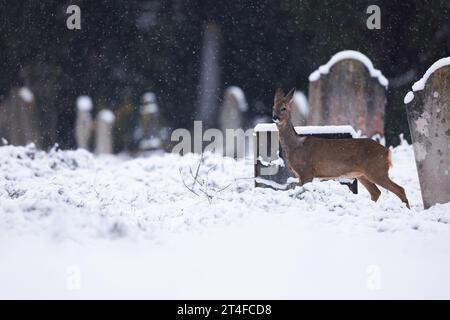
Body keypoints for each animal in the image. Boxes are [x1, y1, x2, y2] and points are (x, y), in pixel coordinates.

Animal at [272, 88, 410, 208]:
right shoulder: (302, 174)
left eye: (283, 108)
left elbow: (302, 191)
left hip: (377, 170)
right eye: (273, 107)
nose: (275, 117)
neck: (295, 145)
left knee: (400, 189)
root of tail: (387, 151)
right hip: (362, 174)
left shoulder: (307, 171)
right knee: (376, 192)